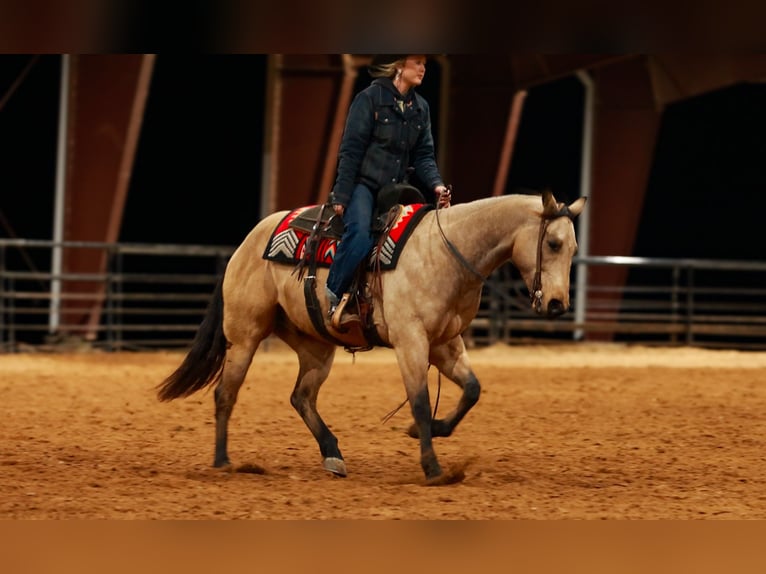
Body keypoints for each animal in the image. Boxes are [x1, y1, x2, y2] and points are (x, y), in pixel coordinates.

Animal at [156, 189, 586, 484]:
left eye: (574, 247)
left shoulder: (445, 345)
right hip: (244, 337)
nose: (557, 304)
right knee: (225, 394)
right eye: (553, 243)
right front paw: (433, 467)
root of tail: (245, 245)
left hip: (315, 344)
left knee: (301, 397)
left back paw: (332, 453)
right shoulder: (411, 342)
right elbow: (419, 401)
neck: (444, 254)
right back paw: (223, 462)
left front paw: (430, 431)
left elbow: (472, 390)